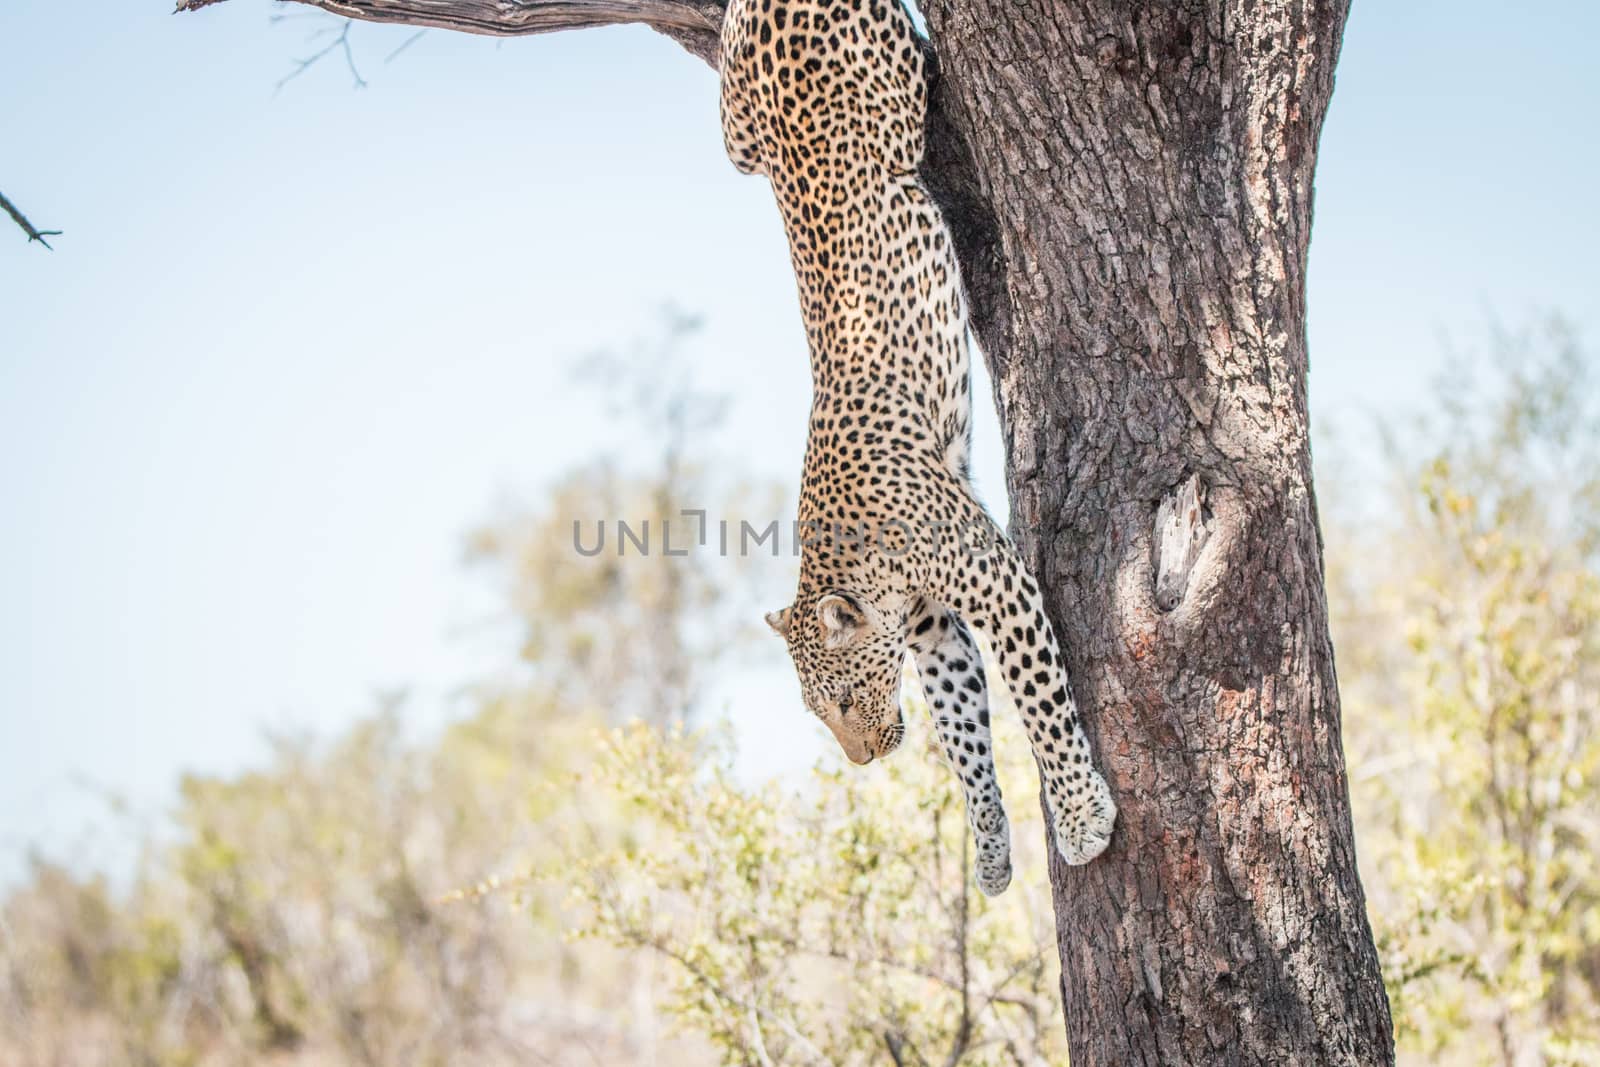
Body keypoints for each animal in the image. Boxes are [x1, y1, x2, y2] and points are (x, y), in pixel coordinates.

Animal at [723, 0, 1113, 889]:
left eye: (837, 700)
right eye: (816, 710)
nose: (862, 759)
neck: (859, 559)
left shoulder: (997, 582)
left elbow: (1040, 700)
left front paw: (1079, 816)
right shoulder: (934, 625)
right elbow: (964, 732)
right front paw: (994, 853)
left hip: (890, 88)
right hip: (736, 140)